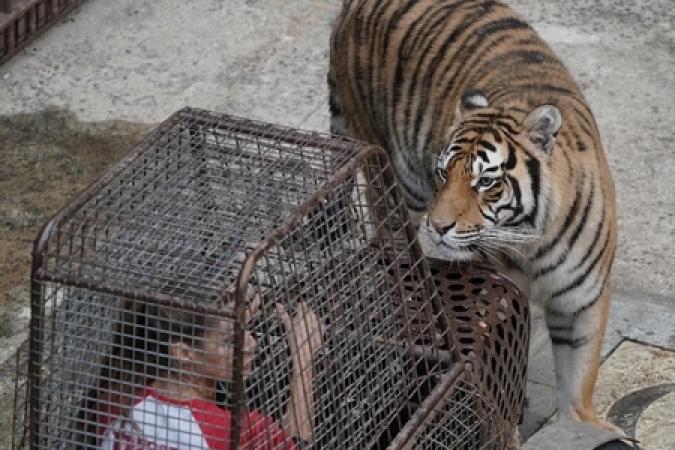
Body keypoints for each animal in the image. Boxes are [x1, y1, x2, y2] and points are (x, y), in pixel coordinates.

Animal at [330, 0, 620, 440]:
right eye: (443, 173)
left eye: (486, 181)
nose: (438, 226)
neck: (531, 241)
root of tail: (352, 7)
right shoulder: (493, 294)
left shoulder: (581, 302)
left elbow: (578, 380)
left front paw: (583, 425)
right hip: (391, 178)